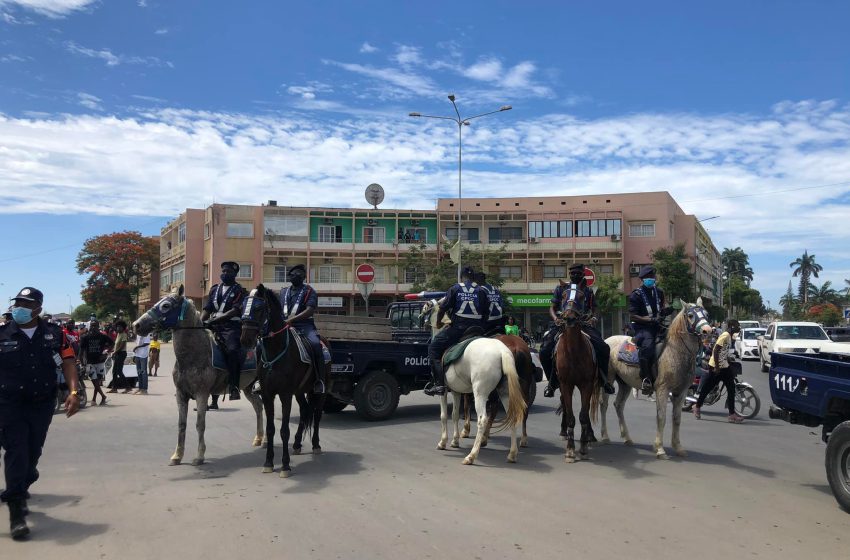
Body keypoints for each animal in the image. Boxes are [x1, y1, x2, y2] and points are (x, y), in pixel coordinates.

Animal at [134, 286, 264, 466]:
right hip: (248, 387)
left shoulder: (202, 394)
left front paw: (199, 456)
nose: (136, 325)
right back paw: (259, 439)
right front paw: (177, 455)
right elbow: (182, 424)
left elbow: (199, 424)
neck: (193, 355)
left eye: (166, 306)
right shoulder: (181, 395)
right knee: (258, 406)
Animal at [242, 284, 332, 476]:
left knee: (317, 414)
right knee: (305, 411)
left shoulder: (285, 395)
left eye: (259, 308)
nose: (245, 339)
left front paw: (285, 465)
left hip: (320, 390)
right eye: (243, 306)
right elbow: (271, 429)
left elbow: (284, 430)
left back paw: (316, 445)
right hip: (299, 391)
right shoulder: (268, 394)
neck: (276, 350)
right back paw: (297, 444)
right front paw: (268, 462)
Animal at [420, 302, 528, 464]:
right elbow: (455, 414)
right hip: (505, 392)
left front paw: (443, 442)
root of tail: (502, 351)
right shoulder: (456, 391)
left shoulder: (443, 391)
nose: (422, 321)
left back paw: (472, 455)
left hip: (480, 393)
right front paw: (455, 441)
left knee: (482, 420)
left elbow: (444, 415)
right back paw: (512, 454)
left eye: (425, 309)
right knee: (513, 415)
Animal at [552, 284, 600, 464]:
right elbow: (572, 416)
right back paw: (563, 431)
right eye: (563, 296)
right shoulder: (566, 384)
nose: (569, 318)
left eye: (581, 297)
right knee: (565, 407)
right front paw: (570, 450)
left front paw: (584, 447)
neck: (573, 351)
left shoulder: (587, 384)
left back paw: (590, 436)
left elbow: (584, 416)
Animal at [600, 298, 712, 460]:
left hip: (625, 383)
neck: (676, 351)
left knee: (618, 405)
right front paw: (659, 449)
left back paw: (627, 437)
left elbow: (676, 418)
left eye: (707, 314)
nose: (708, 331)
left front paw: (678, 447)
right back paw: (605, 436)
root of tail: (607, 339)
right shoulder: (662, 390)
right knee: (604, 405)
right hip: (608, 380)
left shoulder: (682, 392)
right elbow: (661, 417)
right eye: (690, 315)